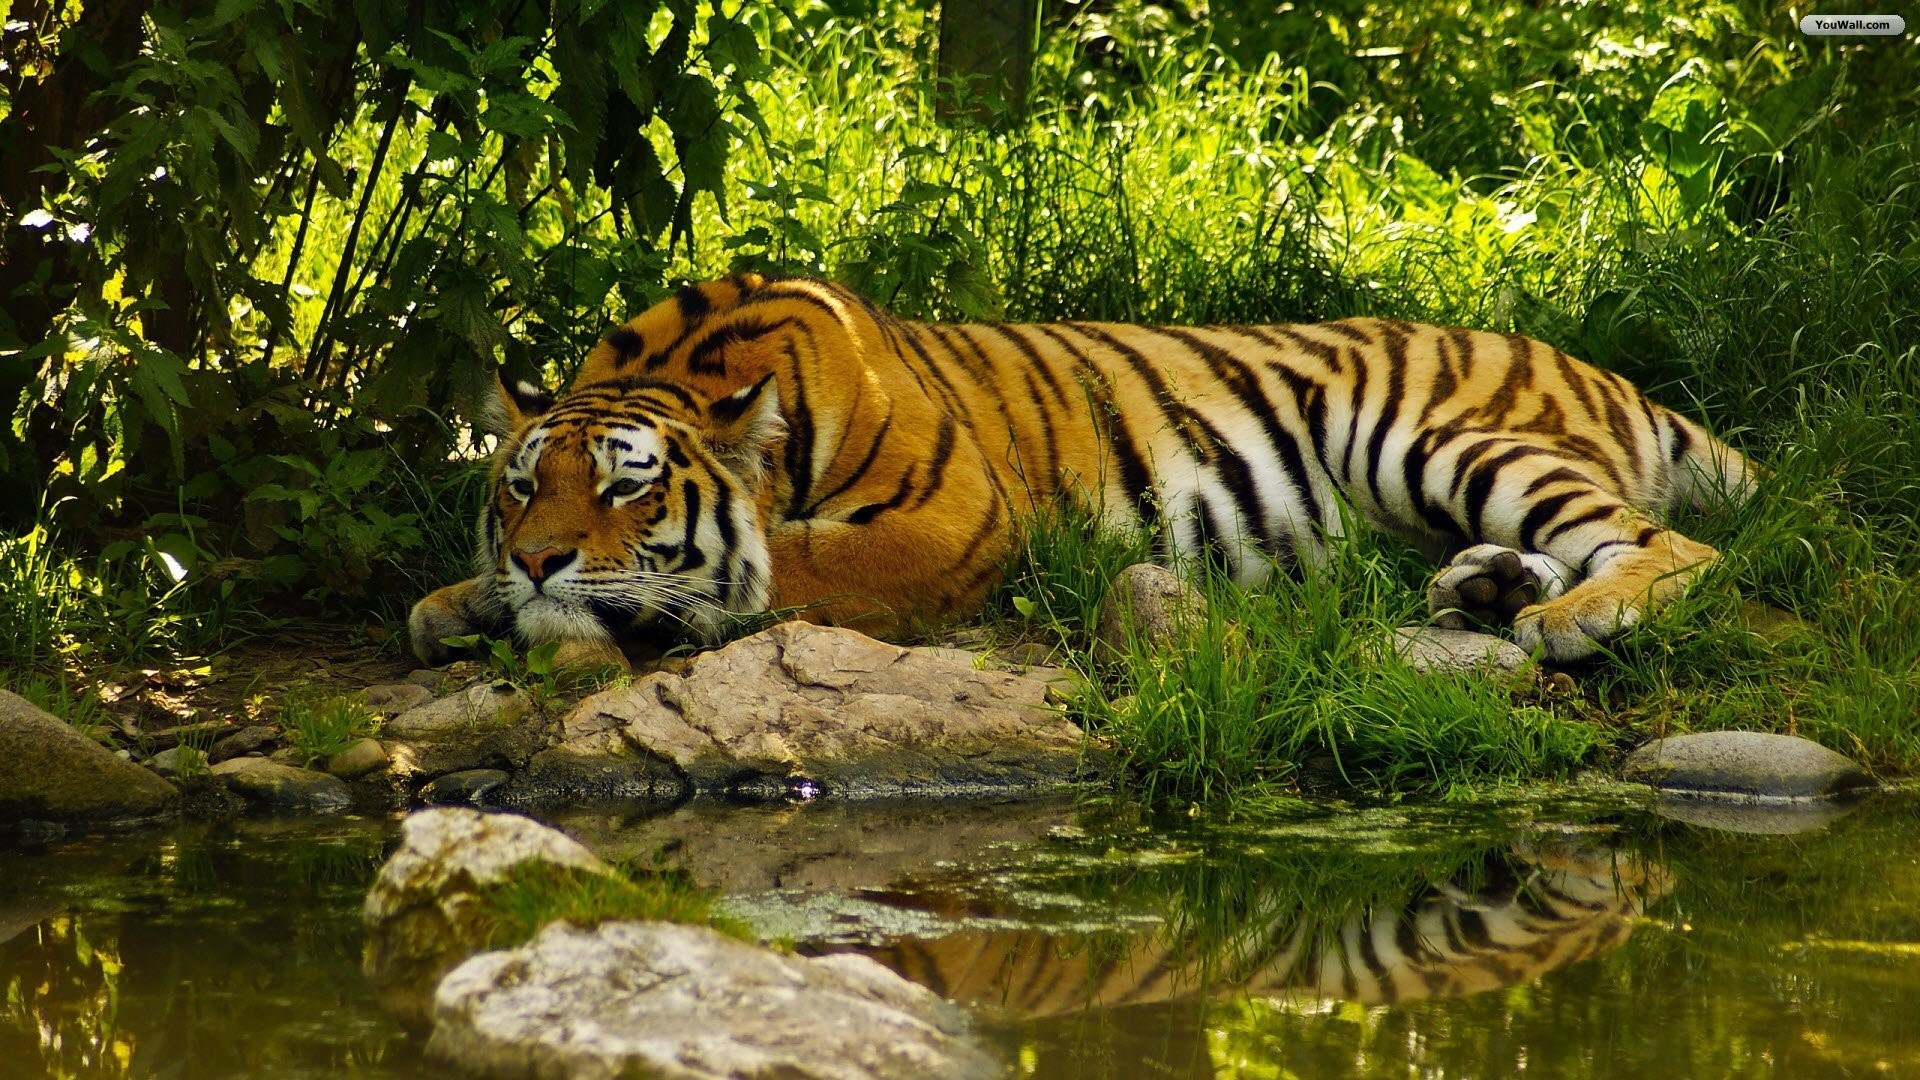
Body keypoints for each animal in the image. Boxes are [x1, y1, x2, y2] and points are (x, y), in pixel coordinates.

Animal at [408, 272, 1755, 667]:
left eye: (628, 486)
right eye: (522, 484)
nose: (539, 560)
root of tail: (1601, 369)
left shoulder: (951, 520)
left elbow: (783, 567)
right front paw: (460, 600)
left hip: (1436, 435)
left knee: (1673, 545)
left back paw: (1570, 620)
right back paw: (1486, 589)